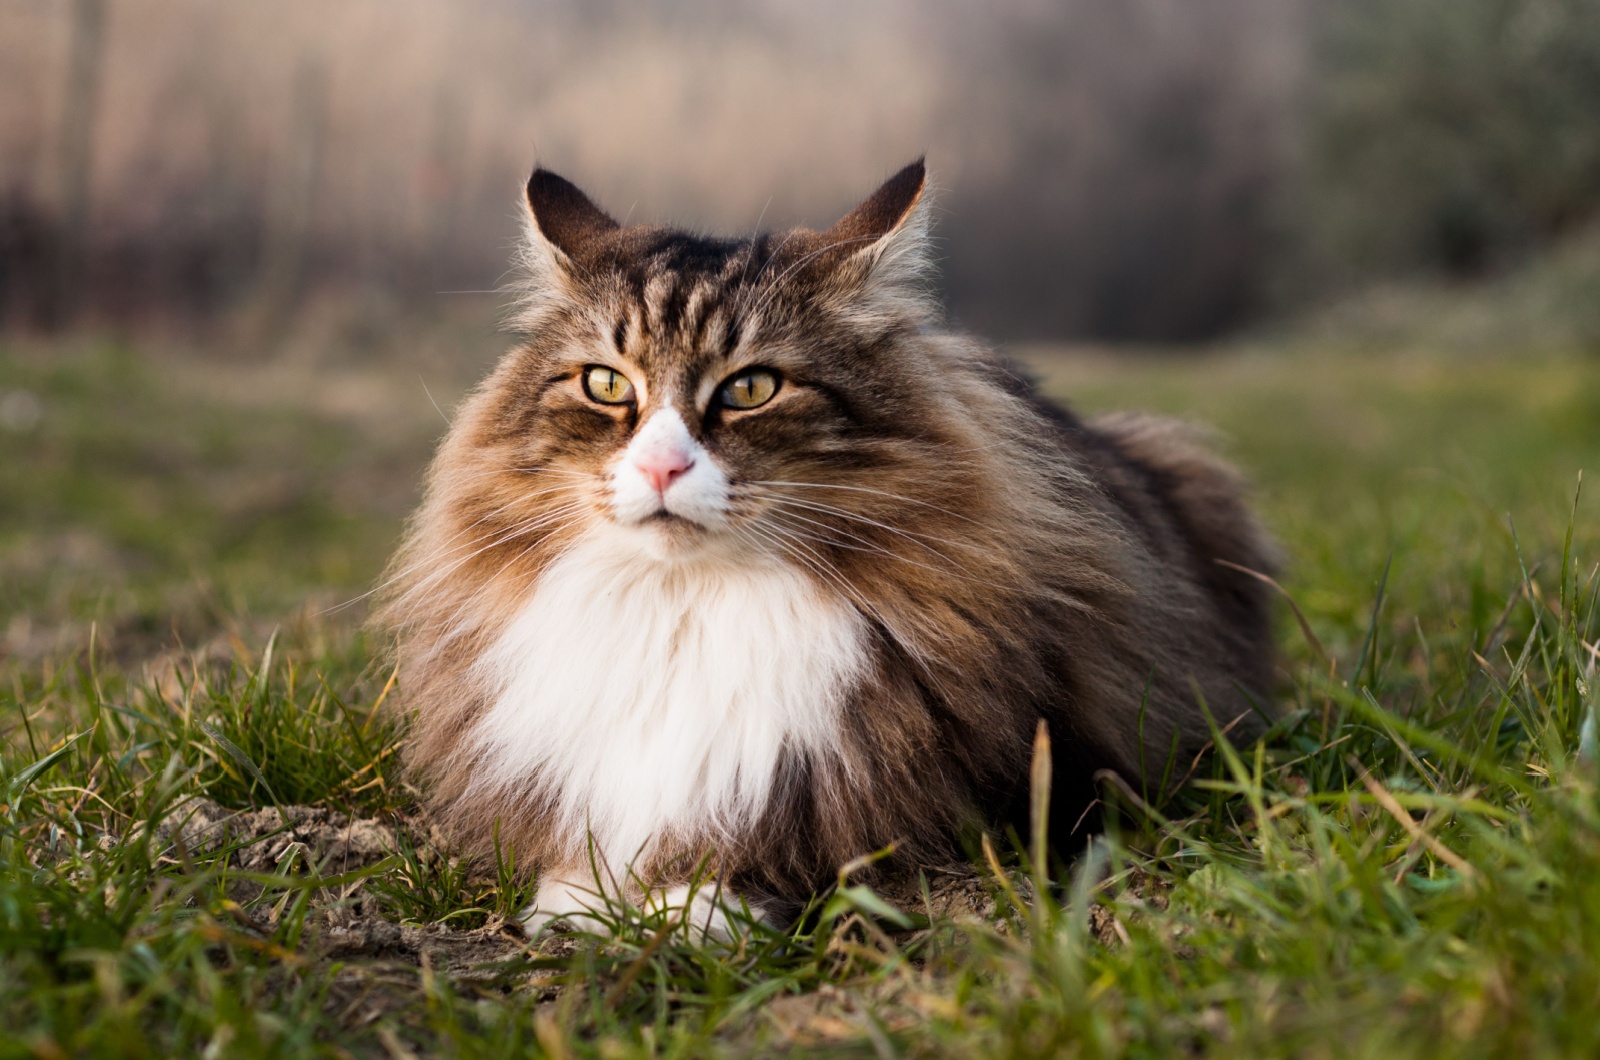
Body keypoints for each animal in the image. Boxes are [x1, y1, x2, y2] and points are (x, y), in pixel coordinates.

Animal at [380, 160, 1280, 941]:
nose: (662, 466)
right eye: (606, 385)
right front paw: (582, 901)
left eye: (750, 388)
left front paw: (690, 905)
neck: (685, 611)